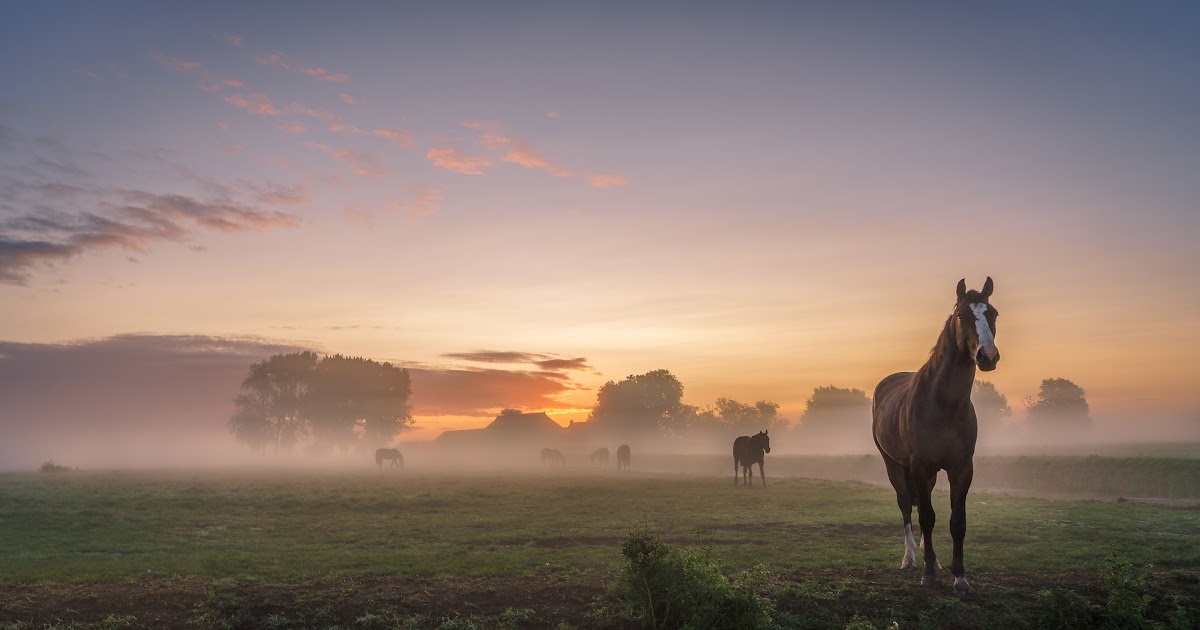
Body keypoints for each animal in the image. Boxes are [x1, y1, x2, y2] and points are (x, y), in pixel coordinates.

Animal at [873, 276, 1003, 595]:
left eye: (993, 313)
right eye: (962, 316)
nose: (987, 356)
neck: (943, 404)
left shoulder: (962, 468)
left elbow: (957, 522)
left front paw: (959, 576)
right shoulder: (919, 466)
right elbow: (926, 516)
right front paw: (929, 573)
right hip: (893, 463)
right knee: (906, 504)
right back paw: (910, 558)